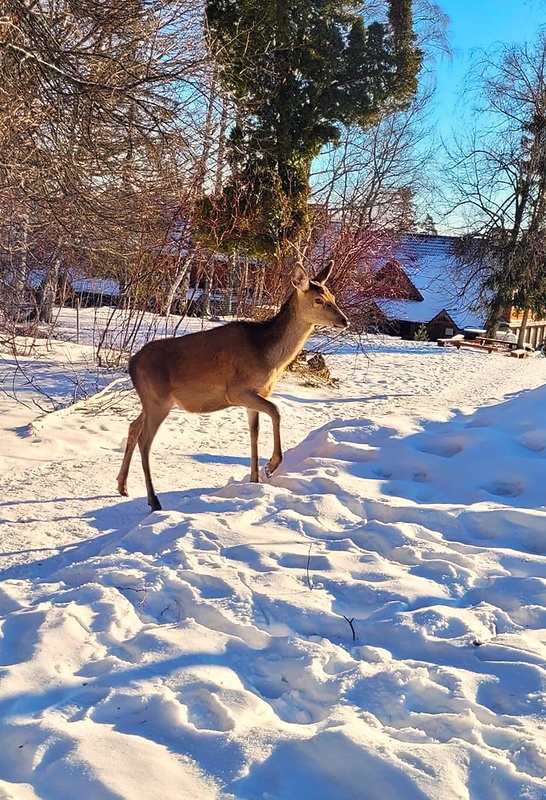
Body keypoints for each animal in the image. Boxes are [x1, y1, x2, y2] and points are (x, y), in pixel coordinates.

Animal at [117, 262, 348, 512]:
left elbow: (254, 433)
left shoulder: (255, 396)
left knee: (133, 427)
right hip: (158, 400)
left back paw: (122, 485)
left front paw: (255, 480)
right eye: (319, 300)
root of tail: (131, 364)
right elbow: (276, 411)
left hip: (151, 401)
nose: (345, 320)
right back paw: (154, 500)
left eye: (333, 296)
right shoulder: (237, 391)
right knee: (145, 441)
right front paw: (271, 466)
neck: (269, 357)